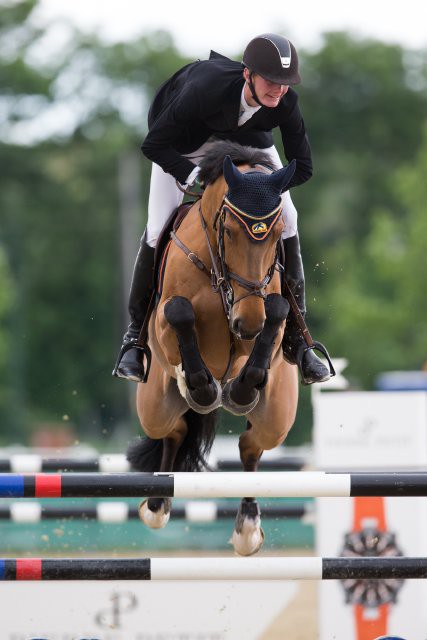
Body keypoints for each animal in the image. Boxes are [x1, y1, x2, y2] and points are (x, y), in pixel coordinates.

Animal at [129, 140, 300, 556]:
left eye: (277, 234)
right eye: (230, 230)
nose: (248, 323)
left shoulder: (255, 332)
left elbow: (277, 312)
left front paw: (238, 390)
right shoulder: (166, 325)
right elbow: (178, 313)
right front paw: (204, 387)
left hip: (277, 417)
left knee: (250, 446)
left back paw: (248, 527)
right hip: (153, 405)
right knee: (173, 430)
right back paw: (156, 505)